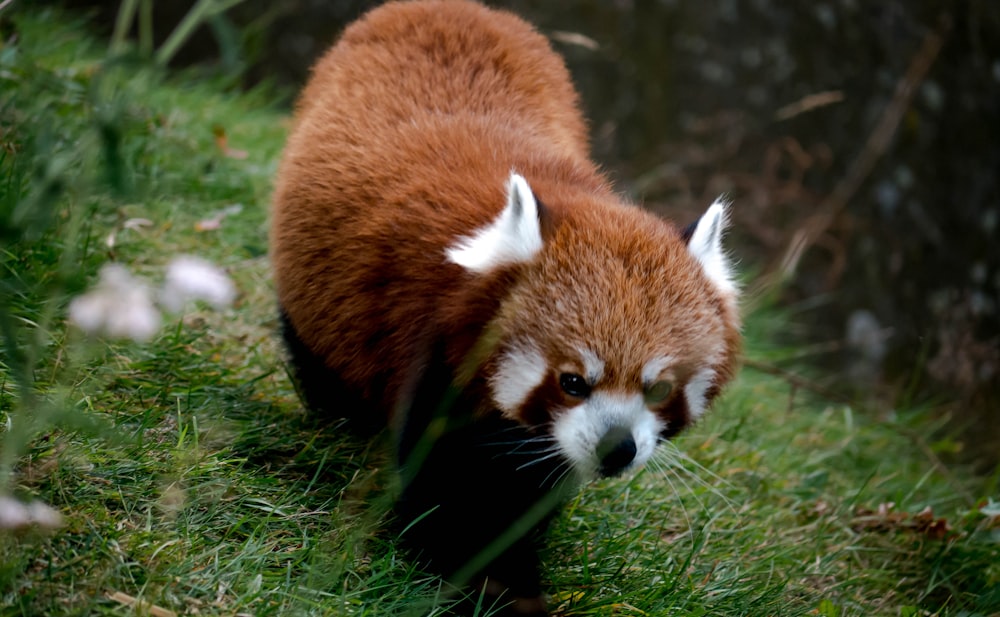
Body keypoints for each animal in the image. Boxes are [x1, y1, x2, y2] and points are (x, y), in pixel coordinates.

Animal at [270, 1, 740, 612]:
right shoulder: (428, 347)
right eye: (572, 381)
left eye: (658, 388)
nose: (617, 449)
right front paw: (481, 582)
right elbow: (445, 487)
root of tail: (456, 8)